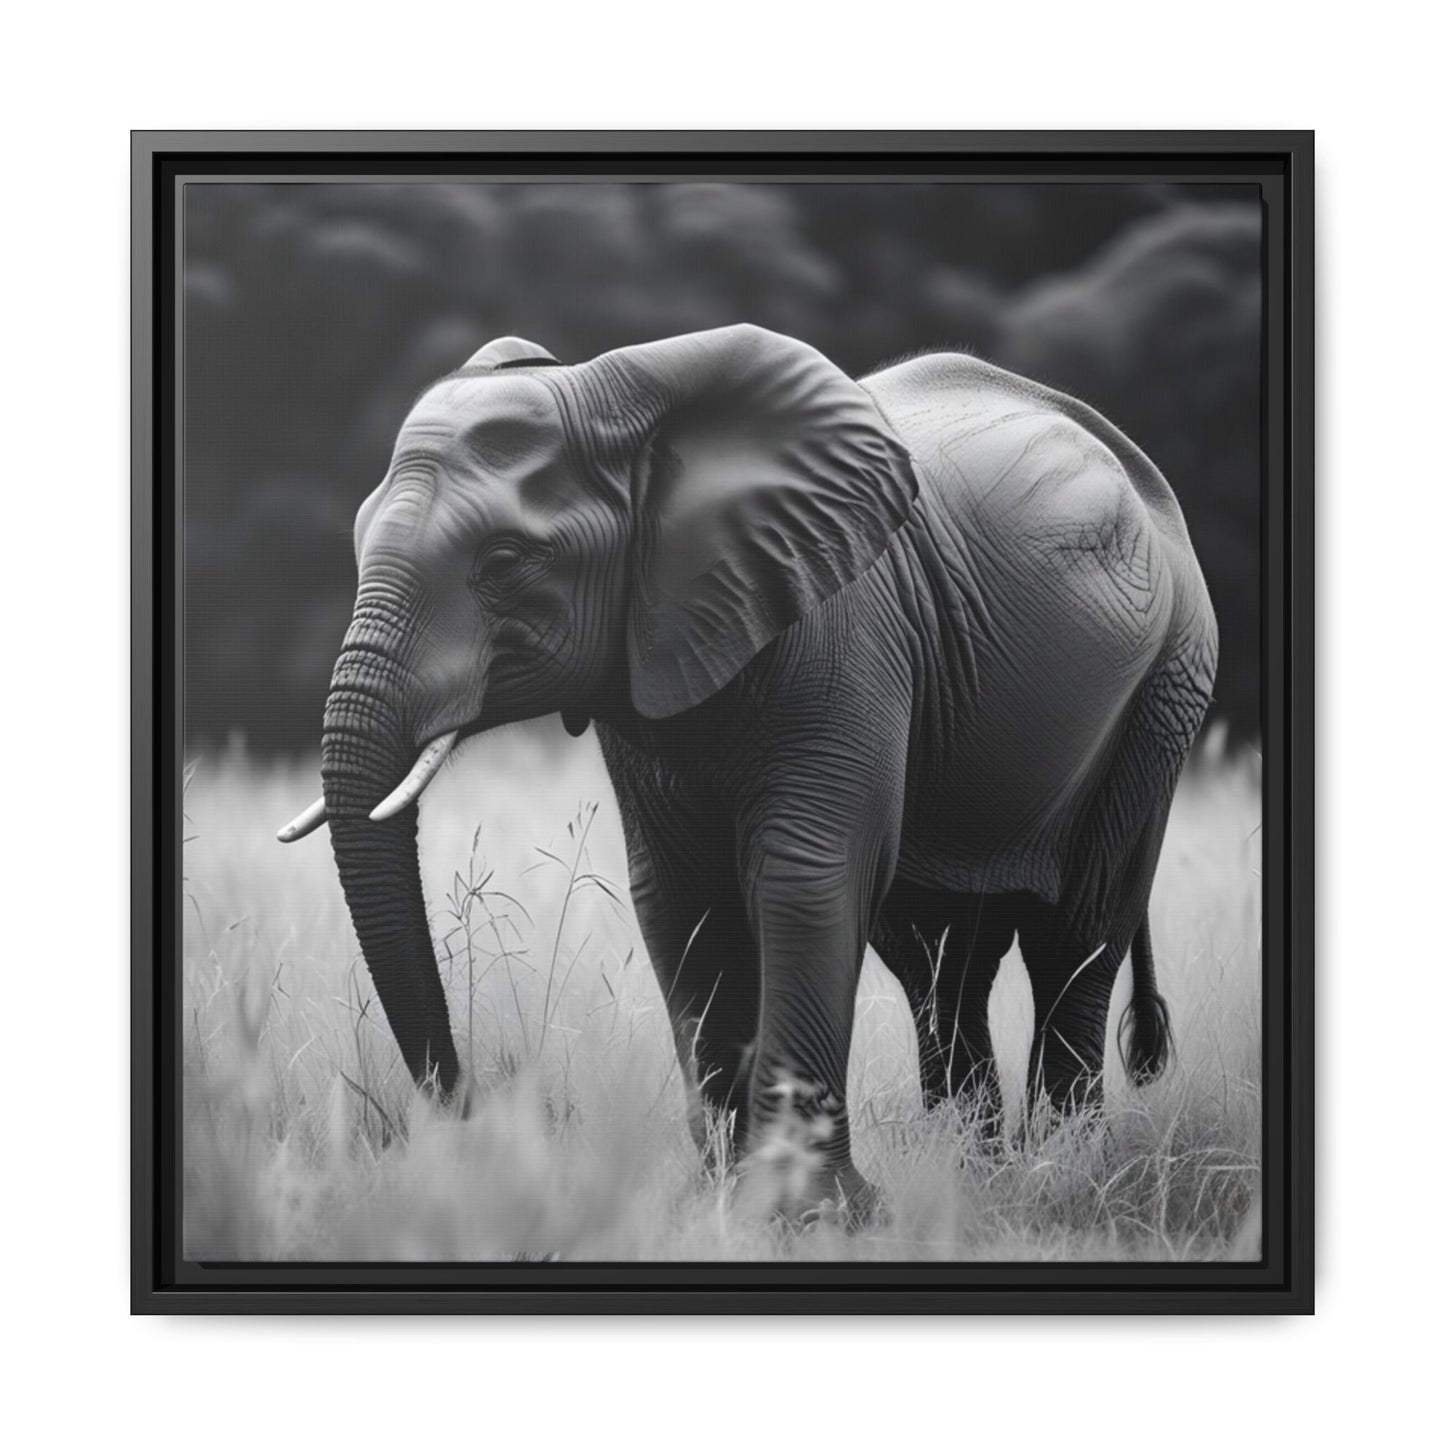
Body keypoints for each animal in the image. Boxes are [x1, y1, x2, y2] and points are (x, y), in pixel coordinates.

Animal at [278, 324, 1218, 1218]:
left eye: (505, 562)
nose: (482, 1121)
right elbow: (678, 894)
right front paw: (721, 1201)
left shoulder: (843, 631)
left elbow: (804, 875)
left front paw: (809, 1215)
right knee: (938, 956)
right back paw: (973, 1171)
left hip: (1164, 688)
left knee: (1076, 932)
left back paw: (1060, 1171)